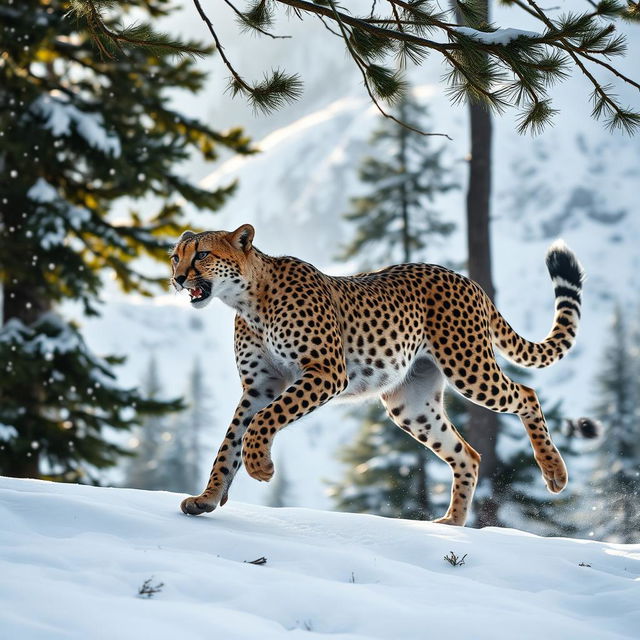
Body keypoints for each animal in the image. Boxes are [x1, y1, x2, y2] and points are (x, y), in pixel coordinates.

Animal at [171, 225, 584, 524]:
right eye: (176, 256)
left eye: (202, 254)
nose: (177, 278)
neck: (248, 300)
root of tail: (464, 278)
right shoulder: (258, 387)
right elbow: (229, 444)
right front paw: (207, 498)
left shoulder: (325, 371)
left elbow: (263, 421)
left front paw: (261, 465)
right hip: (410, 404)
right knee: (467, 454)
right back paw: (451, 524)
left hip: (469, 367)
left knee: (526, 394)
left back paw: (554, 471)